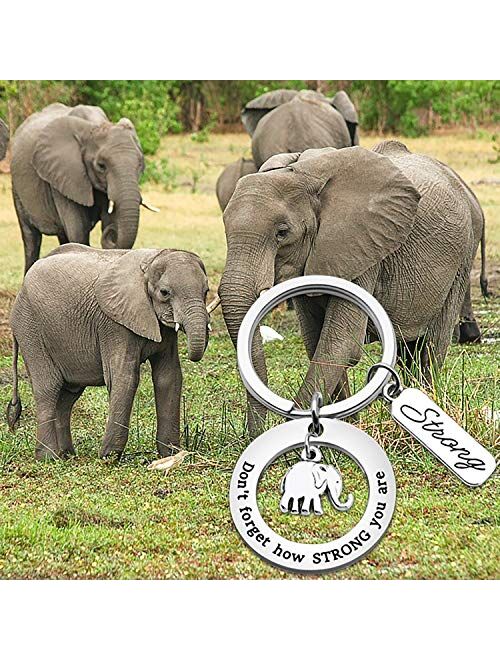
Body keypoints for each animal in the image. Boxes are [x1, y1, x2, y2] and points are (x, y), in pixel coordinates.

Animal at [7, 243, 210, 461]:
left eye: (206, 291)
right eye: (164, 293)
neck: (151, 261)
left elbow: (169, 377)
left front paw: (171, 454)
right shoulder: (114, 324)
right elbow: (124, 378)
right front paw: (108, 457)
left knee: (68, 395)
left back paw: (67, 455)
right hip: (30, 328)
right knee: (48, 388)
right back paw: (48, 457)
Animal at [10, 103, 158, 274]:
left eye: (140, 164)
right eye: (101, 166)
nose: (112, 233)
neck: (95, 125)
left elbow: (108, 220)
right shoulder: (63, 175)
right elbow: (78, 230)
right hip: (17, 188)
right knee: (31, 239)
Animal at [219, 141, 485, 435]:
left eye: (282, 233)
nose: (254, 433)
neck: (302, 175)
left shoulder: (364, 250)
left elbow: (339, 343)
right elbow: (316, 341)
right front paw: (345, 427)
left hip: (463, 257)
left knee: (432, 345)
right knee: (409, 349)